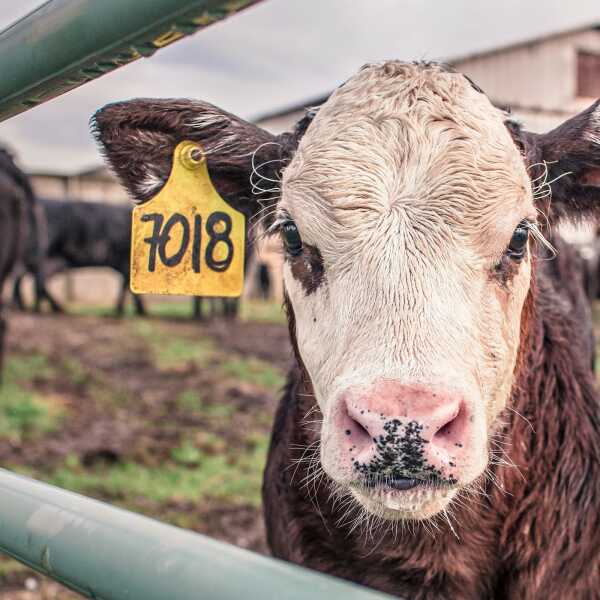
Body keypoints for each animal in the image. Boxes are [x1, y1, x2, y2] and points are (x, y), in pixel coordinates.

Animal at [12, 198, 146, 318]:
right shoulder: (125, 261)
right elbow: (127, 285)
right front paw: (131, 311)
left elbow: (126, 284)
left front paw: (132, 311)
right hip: (44, 256)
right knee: (35, 280)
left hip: (49, 260)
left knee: (31, 279)